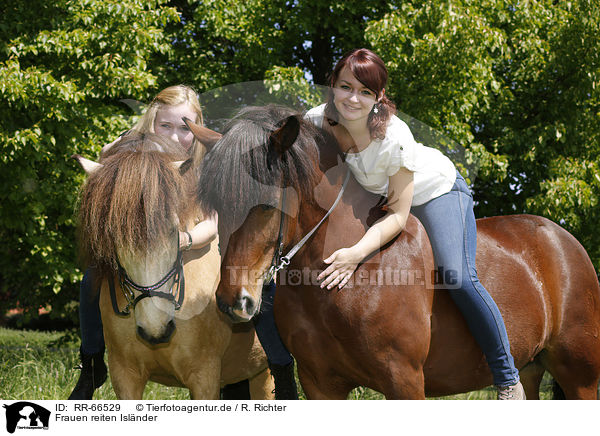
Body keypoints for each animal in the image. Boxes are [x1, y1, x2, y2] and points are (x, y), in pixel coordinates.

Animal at [192, 105, 600, 398]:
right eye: (217, 205)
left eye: (264, 205)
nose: (232, 302)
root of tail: (565, 241)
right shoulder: (320, 382)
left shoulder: (403, 380)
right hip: (533, 367)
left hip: (581, 377)